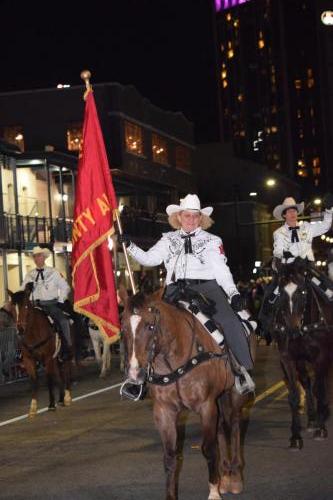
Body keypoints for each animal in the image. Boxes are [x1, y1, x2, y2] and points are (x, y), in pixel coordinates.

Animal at [8, 286, 72, 418]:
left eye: (26, 306)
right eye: (12, 307)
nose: (20, 330)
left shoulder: (47, 357)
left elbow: (48, 379)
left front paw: (51, 405)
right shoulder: (29, 360)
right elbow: (33, 380)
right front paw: (33, 408)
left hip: (64, 355)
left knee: (67, 371)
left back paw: (67, 397)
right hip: (55, 358)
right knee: (59, 375)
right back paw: (61, 399)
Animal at [120, 290, 255, 500]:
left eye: (151, 326)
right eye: (123, 327)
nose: (135, 374)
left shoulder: (206, 406)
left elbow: (208, 449)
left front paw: (213, 492)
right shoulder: (164, 412)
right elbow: (170, 456)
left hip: (234, 394)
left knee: (234, 425)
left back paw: (235, 477)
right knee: (222, 429)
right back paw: (225, 474)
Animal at [272, 258, 332, 450]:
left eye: (303, 291)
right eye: (281, 292)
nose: (292, 331)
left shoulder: (321, 356)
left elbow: (320, 389)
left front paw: (321, 429)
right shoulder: (288, 358)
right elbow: (294, 395)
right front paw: (296, 436)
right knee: (306, 382)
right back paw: (313, 418)